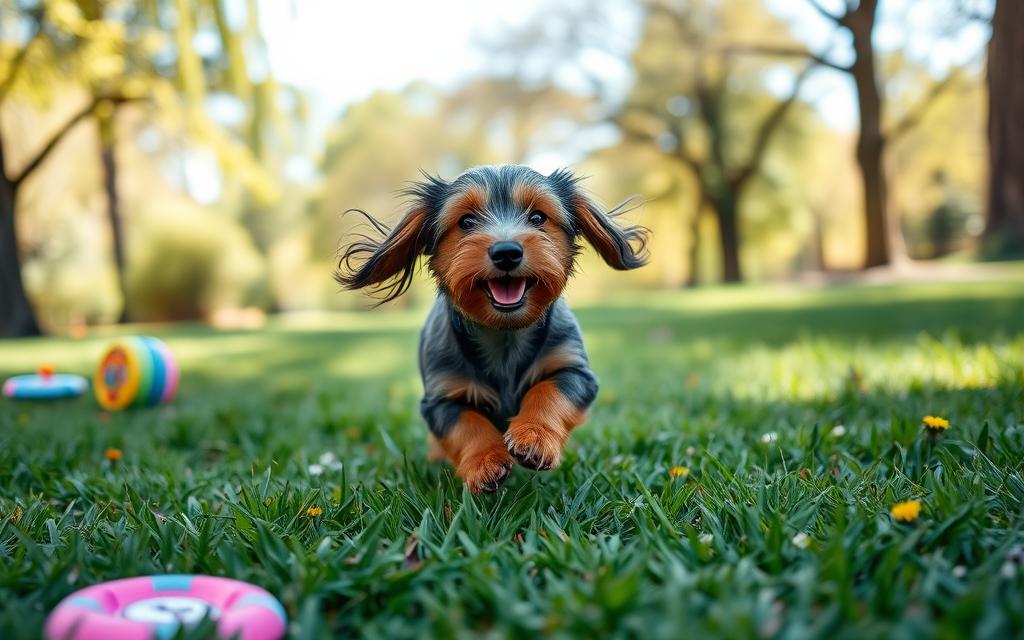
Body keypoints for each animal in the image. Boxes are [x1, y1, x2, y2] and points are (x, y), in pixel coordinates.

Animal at [335, 165, 647, 493]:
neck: (504, 334)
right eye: (466, 221)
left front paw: (534, 437)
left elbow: (548, 393)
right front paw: (484, 462)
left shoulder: (575, 372)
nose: (506, 252)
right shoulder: (442, 399)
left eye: (538, 217)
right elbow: (468, 426)